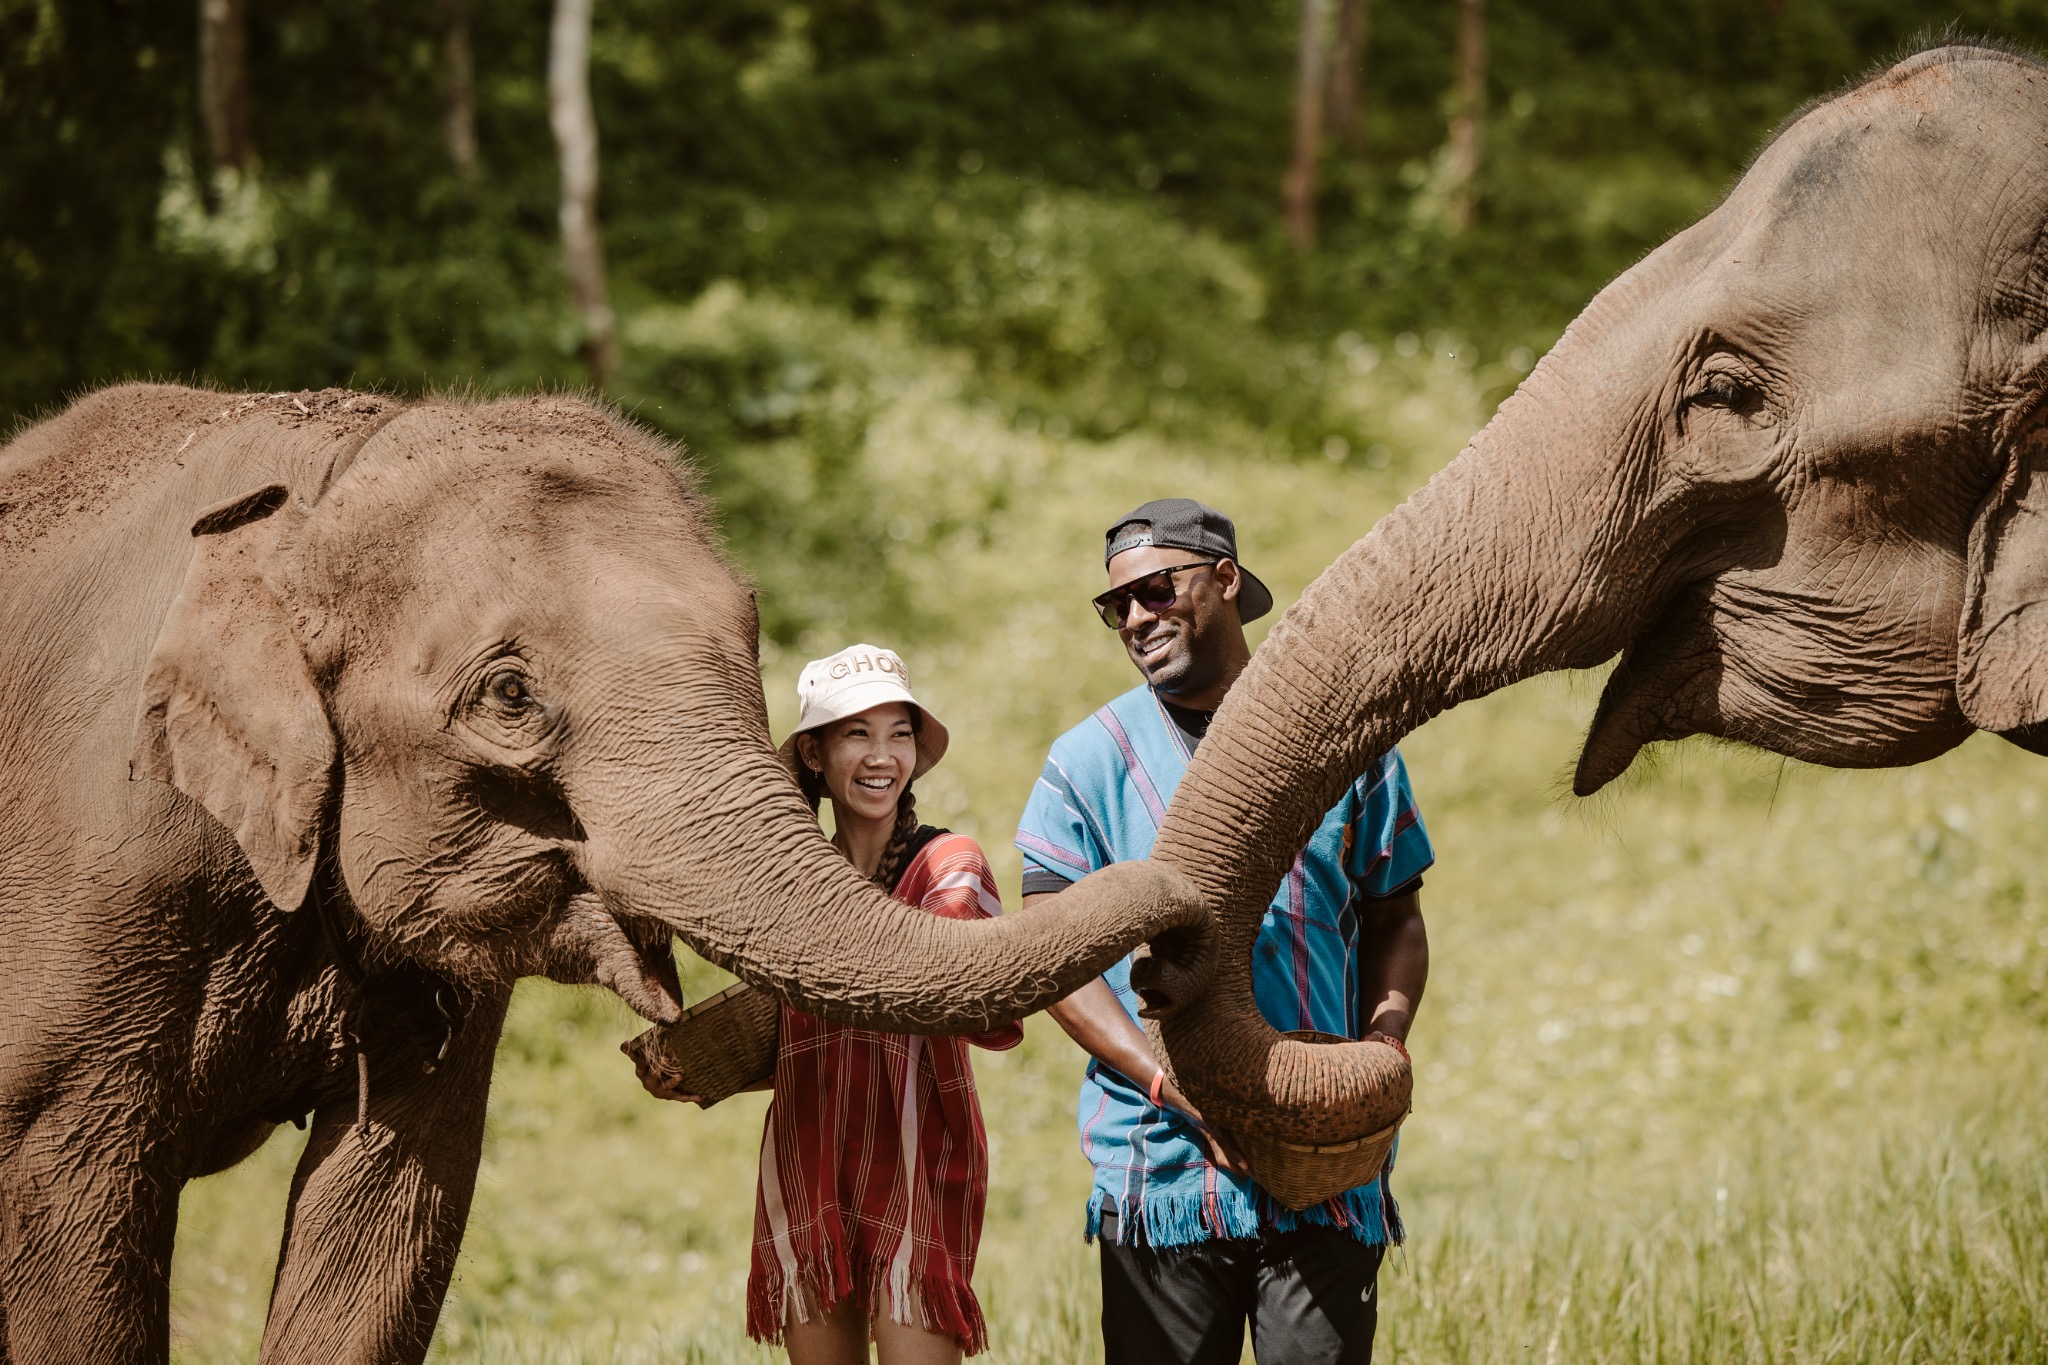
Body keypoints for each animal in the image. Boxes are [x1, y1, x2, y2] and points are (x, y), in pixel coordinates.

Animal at [0, 384, 1207, 1363]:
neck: (321, 483)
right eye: (509, 695)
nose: (1181, 919)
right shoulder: (96, 883)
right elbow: (67, 1204)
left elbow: (389, 1209)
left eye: (750, 633)